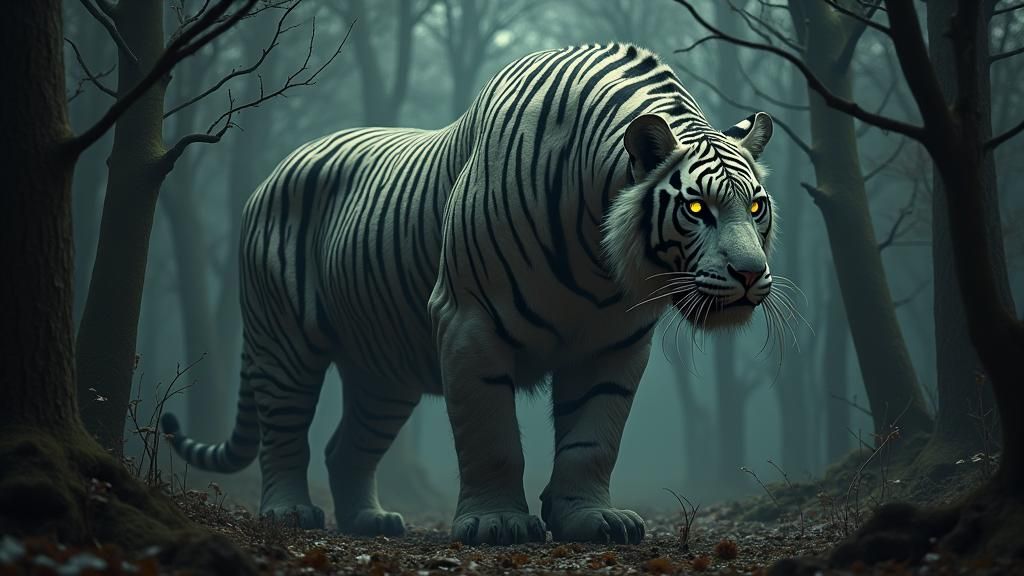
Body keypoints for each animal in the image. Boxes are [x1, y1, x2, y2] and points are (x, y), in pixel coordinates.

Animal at [161, 42, 778, 545]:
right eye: (697, 208)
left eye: (755, 206)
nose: (750, 274)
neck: (600, 259)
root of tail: (272, 172)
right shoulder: (468, 322)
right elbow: (492, 436)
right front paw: (497, 523)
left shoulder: (616, 343)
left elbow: (594, 441)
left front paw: (591, 519)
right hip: (286, 343)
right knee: (285, 433)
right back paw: (290, 513)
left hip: (383, 374)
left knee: (346, 448)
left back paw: (370, 520)